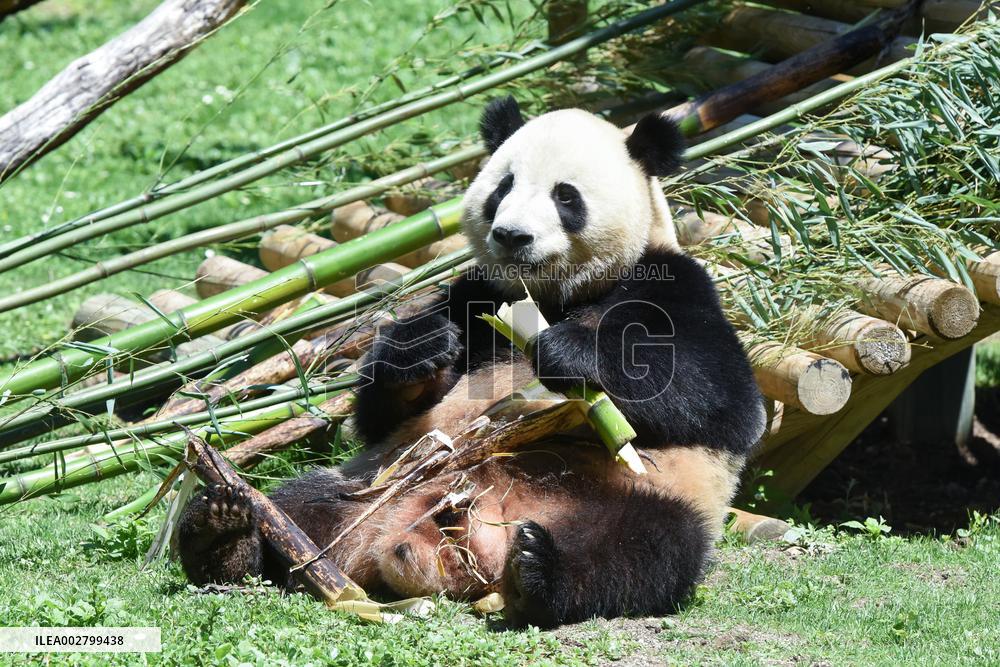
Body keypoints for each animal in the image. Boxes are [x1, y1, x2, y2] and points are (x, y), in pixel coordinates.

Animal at [177, 97, 766, 628]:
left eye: (565, 196)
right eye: (503, 186)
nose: (511, 235)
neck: (549, 298)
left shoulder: (672, 283)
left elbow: (723, 399)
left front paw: (568, 354)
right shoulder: (474, 294)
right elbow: (378, 412)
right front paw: (421, 350)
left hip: (642, 495)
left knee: (639, 552)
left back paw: (537, 572)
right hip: (379, 482)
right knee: (302, 505)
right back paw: (224, 532)